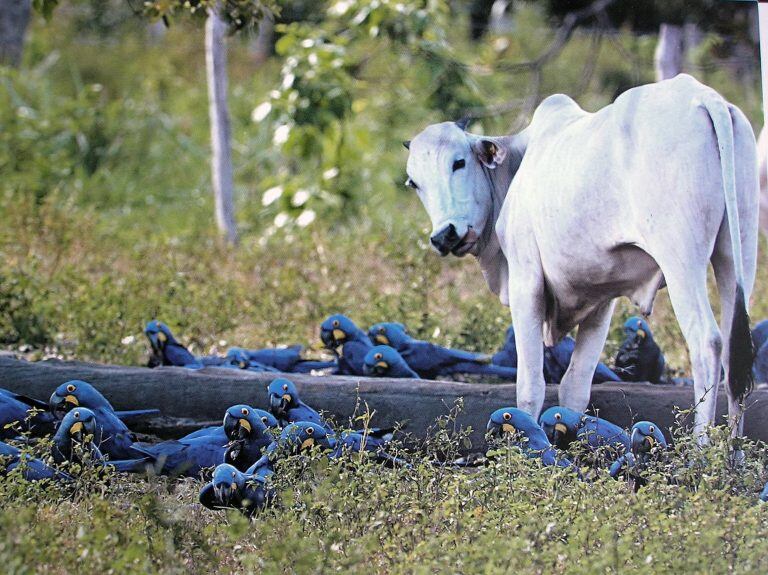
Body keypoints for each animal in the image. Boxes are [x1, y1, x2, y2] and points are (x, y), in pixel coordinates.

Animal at [404, 74, 760, 438]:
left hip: (681, 257)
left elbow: (530, 386)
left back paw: (702, 447)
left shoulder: (526, 282)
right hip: (738, 250)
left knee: (707, 342)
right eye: (414, 183)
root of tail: (702, 97)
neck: (518, 165)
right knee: (736, 354)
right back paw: (732, 449)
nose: (445, 234)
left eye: (458, 163)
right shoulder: (602, 297)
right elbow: (575, 385)